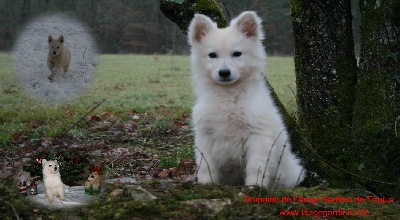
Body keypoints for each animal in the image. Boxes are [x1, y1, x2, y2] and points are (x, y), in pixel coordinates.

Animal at [189, 11, 304, 188]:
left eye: (237, 54)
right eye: (212, 55)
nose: (224, 73)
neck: (229, 96)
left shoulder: (258, 135)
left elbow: (256, 166)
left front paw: (254, 187)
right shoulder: (205, 135)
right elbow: (206, 164)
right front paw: (207, 184)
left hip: (286, 173)